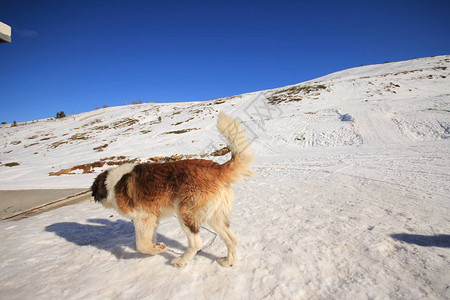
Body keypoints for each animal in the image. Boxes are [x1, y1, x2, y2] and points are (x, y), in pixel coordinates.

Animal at [89, 112, 255, 268]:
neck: (111, 184)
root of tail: (216, 168)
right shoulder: (152, 220)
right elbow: (147, 240)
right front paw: (155, 247)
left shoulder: (143, 217)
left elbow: (141, 245)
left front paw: (158, 249)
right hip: (215, 217)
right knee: (232, 239)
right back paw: (228, 262)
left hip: (185, 212)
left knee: (196, 243)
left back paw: (181, 261)